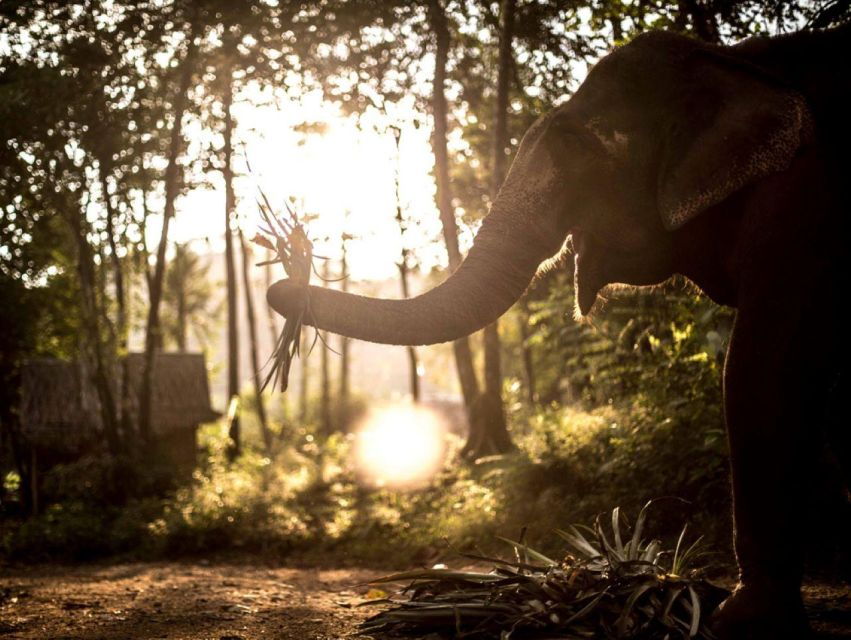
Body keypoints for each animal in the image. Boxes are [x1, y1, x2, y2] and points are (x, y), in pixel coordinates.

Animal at [269, 25, 850, 638]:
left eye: (575, 145)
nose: (289, 273)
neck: (735, 61)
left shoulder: (804, 204)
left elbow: (762, 369)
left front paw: (732, 618)